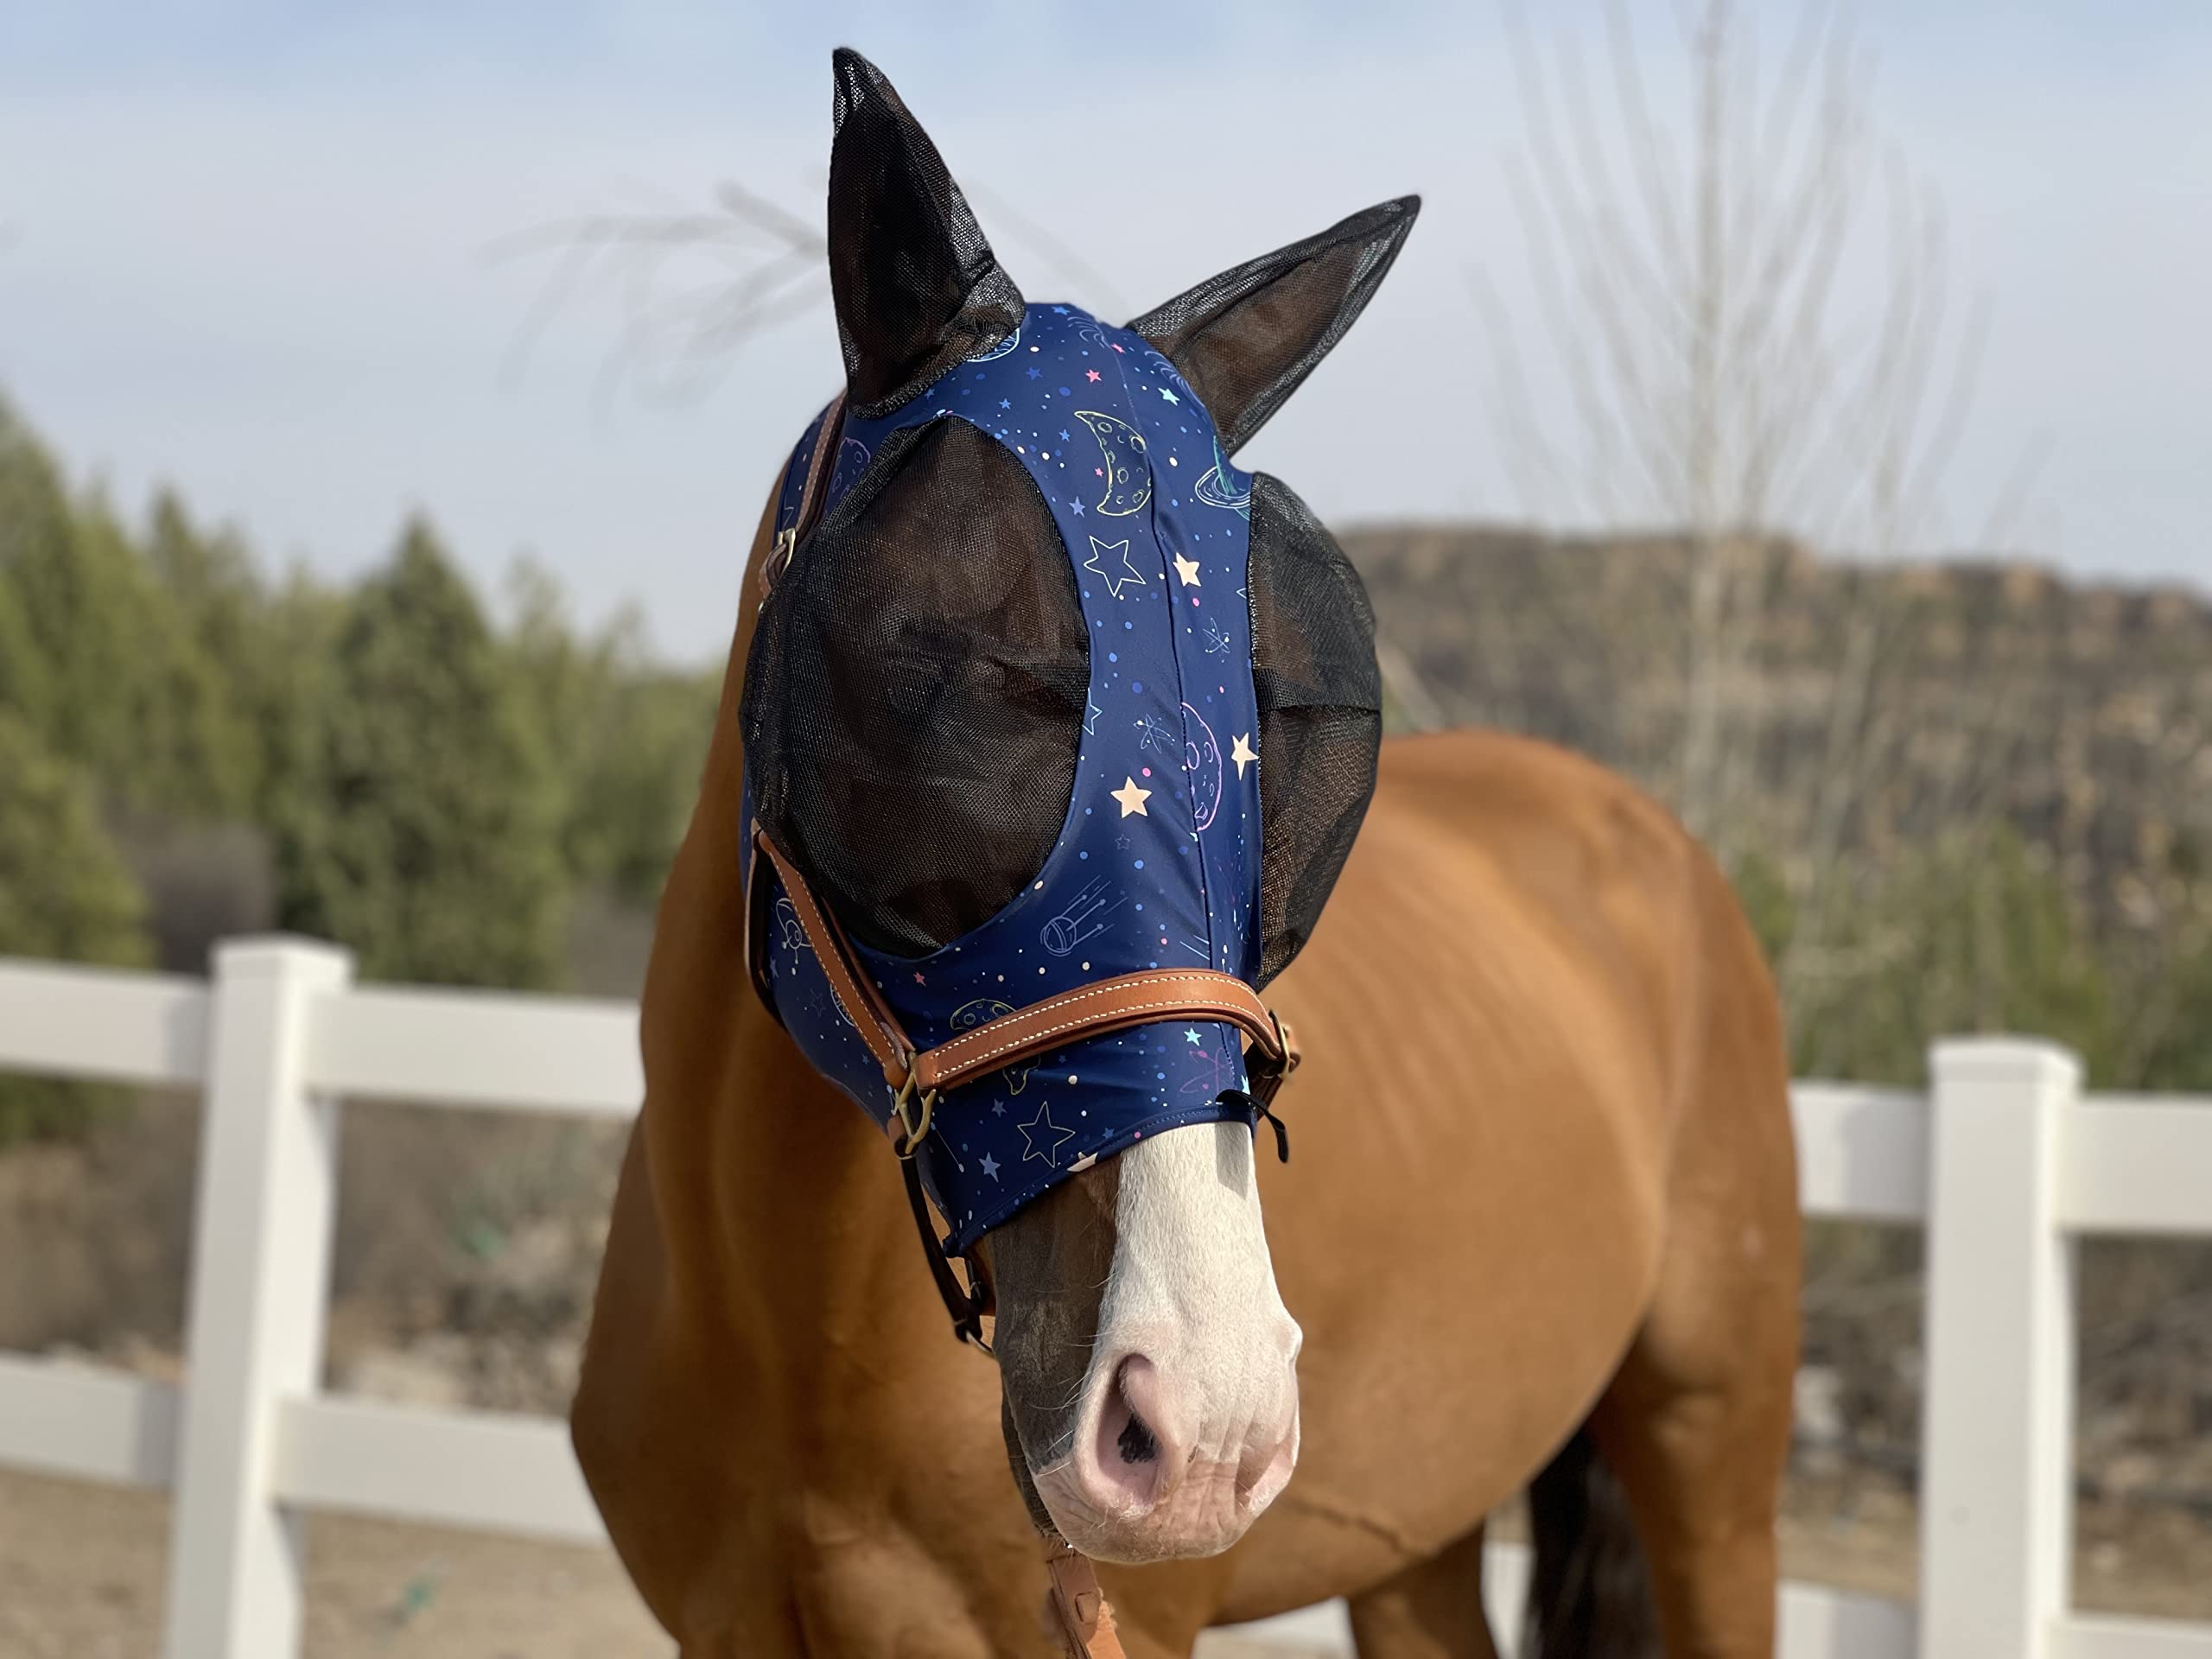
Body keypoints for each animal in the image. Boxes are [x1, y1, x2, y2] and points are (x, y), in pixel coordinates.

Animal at [573, 48, 1800, 1659]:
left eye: (1296, 718)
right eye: (941, 667)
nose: (1203, 1423)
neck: (791, 1330)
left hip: (1713, 1468)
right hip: (1417, 1537)